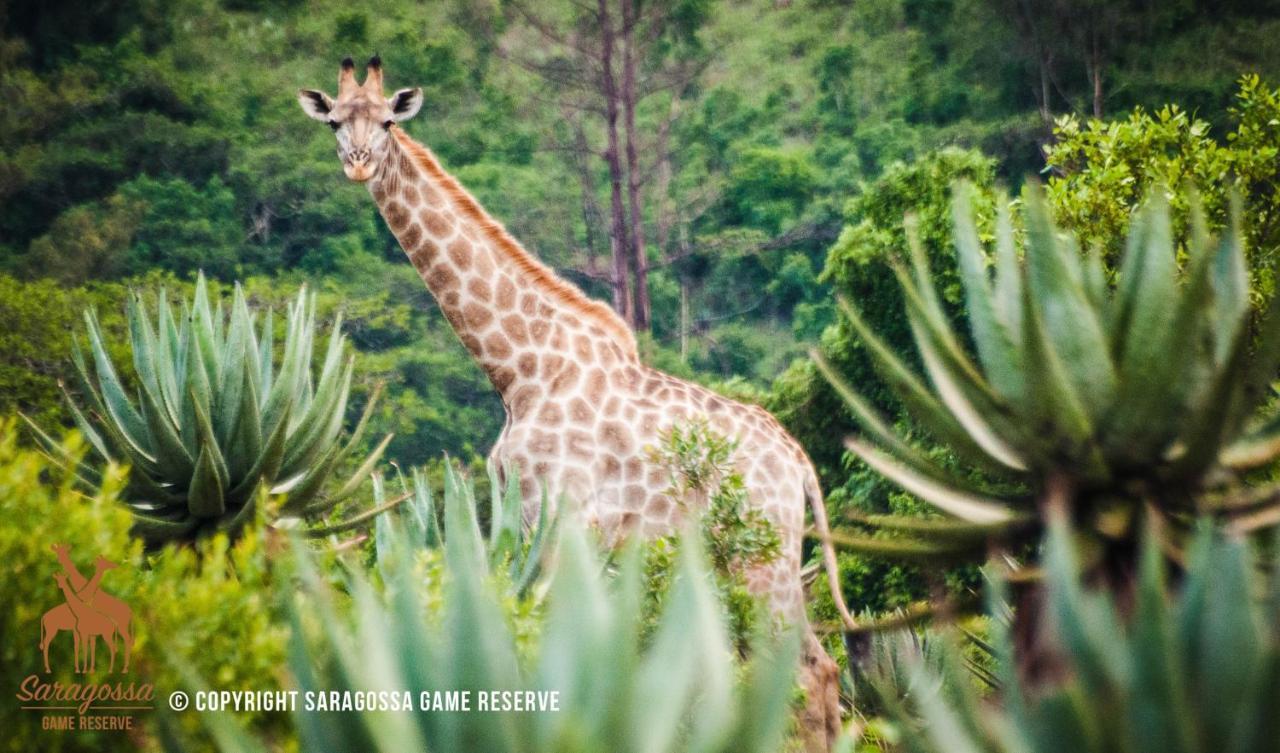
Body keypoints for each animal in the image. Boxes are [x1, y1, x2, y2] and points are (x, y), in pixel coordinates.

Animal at [302, 57, 860, 747]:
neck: (516, 367)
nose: (357, 164)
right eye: (333, 122)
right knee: (821, 670)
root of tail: (799, 464)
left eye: (386, 122)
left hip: (763, 559)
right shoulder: (529, 517)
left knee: (805, 673)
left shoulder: (561, 516)